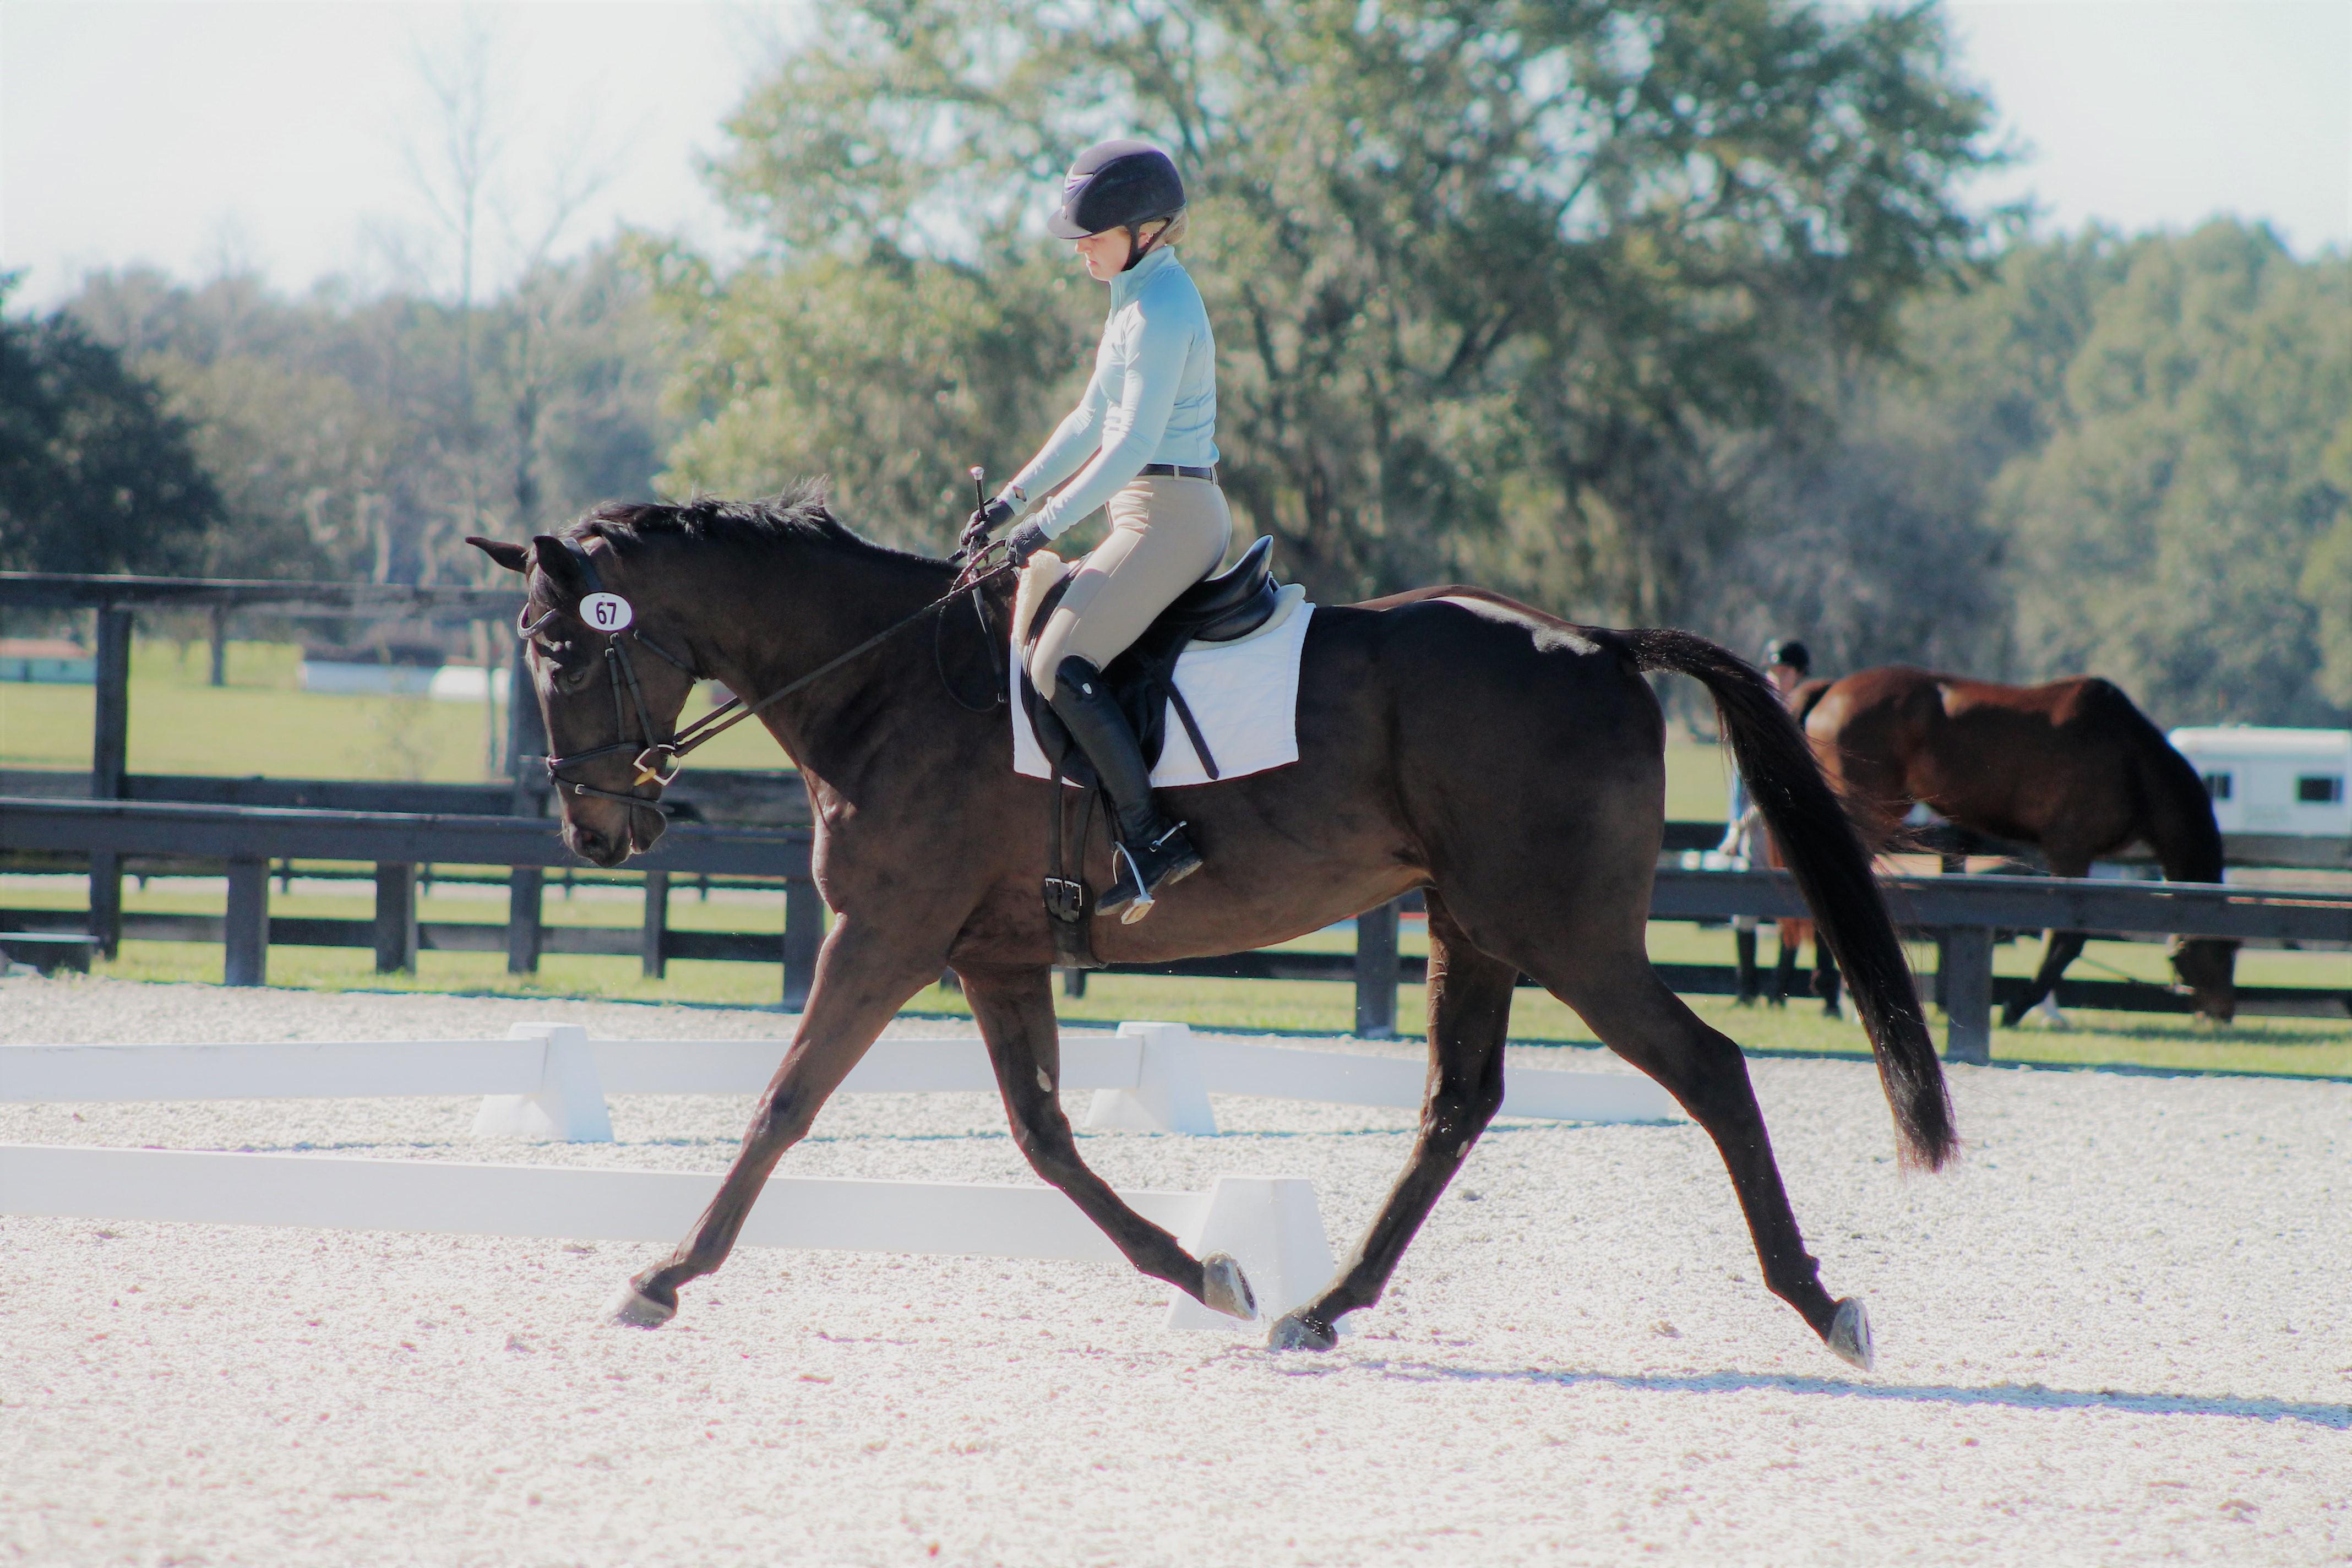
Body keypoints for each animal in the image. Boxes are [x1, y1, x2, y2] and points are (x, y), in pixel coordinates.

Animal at [469, 490, 1955, 1367]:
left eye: (559, 648)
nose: (593, 832)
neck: (885, 680)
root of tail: (1593, 643)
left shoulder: (885, 934)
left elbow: (785, 1100)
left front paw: (663, 1273)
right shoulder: (994, 952)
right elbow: (1046, 1137)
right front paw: (1205, 1270)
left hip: (1568, 933)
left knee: (1706, 1067)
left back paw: (1820, 1300)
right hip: (1471, 923)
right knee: (1455, 1104)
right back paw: (1318, 1307)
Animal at [1799, 666, 2237, 1025]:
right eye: (2221, 950)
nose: (2224, 1011)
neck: (2130, 757)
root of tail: (1831, 691)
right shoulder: (2070, 849)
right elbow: (2066, 937)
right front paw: (2016, 1007)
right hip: (1867, 813)